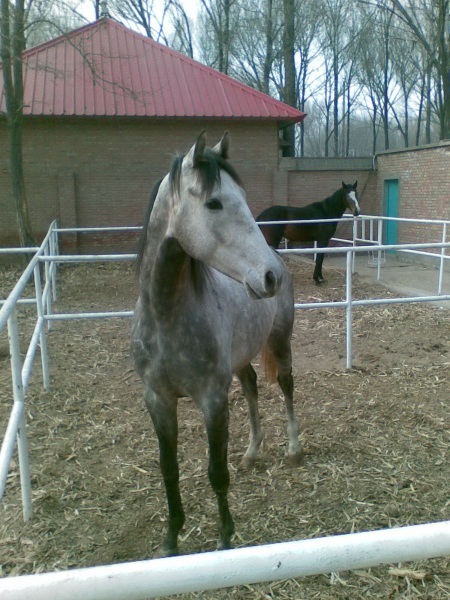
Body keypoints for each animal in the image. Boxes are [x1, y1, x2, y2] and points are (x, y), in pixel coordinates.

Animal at [132, 131, 304, 556]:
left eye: (241, 196)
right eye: (214, 202)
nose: (270, 277)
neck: (166, 318)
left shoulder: (212, 399)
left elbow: (216, 472)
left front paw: (225, 538)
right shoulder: (157, 400)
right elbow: (169, 470)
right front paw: (171, 539)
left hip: (281, 343)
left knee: (286, 388)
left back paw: (293, 449)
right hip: (241, 361)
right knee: (253, 388)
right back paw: (252, 453)